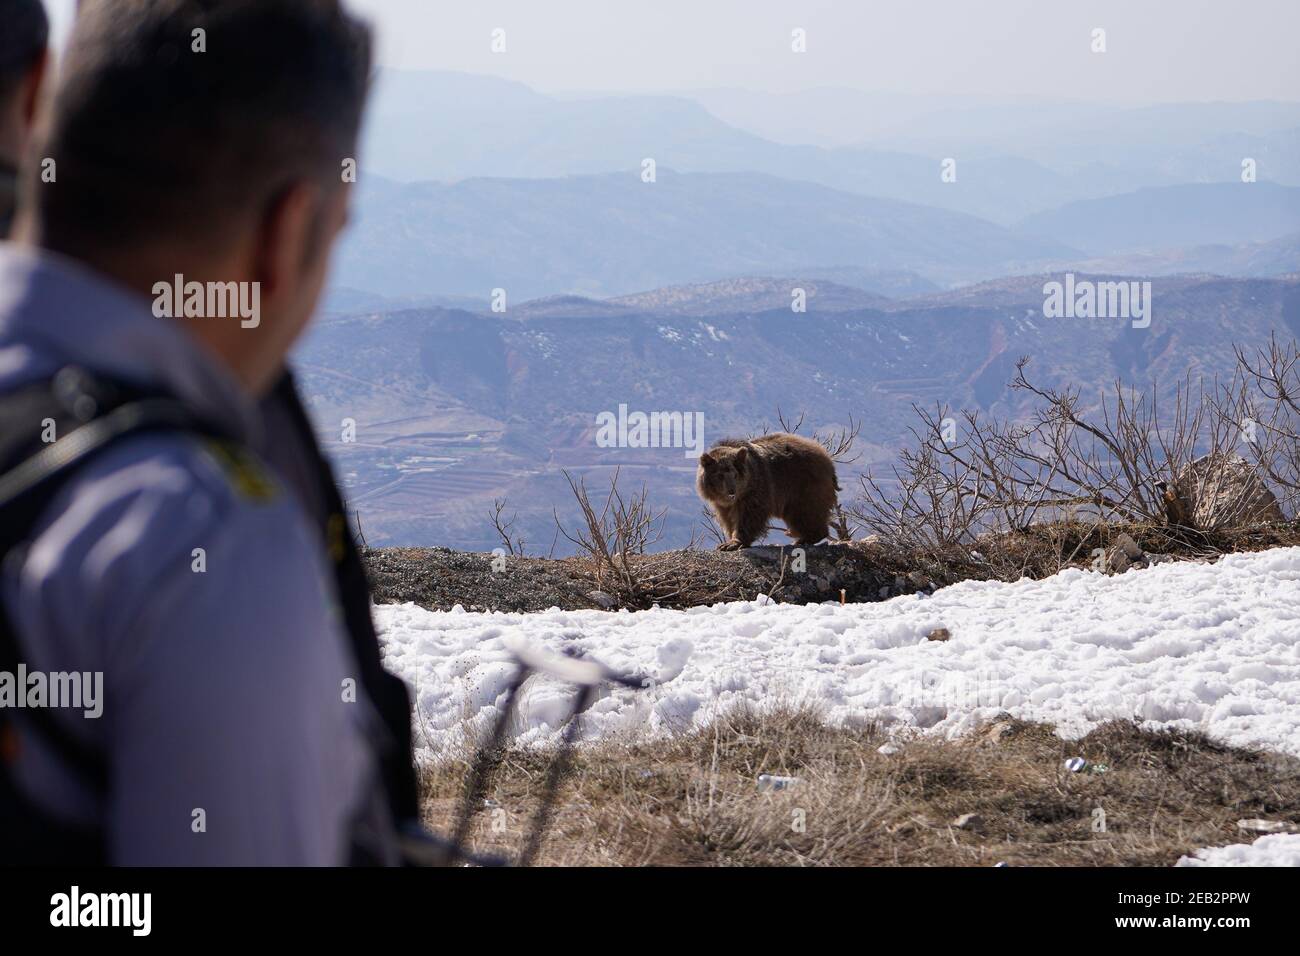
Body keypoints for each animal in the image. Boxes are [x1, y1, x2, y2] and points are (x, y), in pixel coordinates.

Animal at [696, 434, 837, 554]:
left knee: (806, 512)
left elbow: (750, 515)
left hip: (803, 485)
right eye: (720, 475)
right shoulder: (722, 504)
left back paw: (804, 538)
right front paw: (729, 538)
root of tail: (826, 457)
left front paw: (733, 543)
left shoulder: (756, 489)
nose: (731, 491)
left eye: (735, 474)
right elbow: (727, 518)